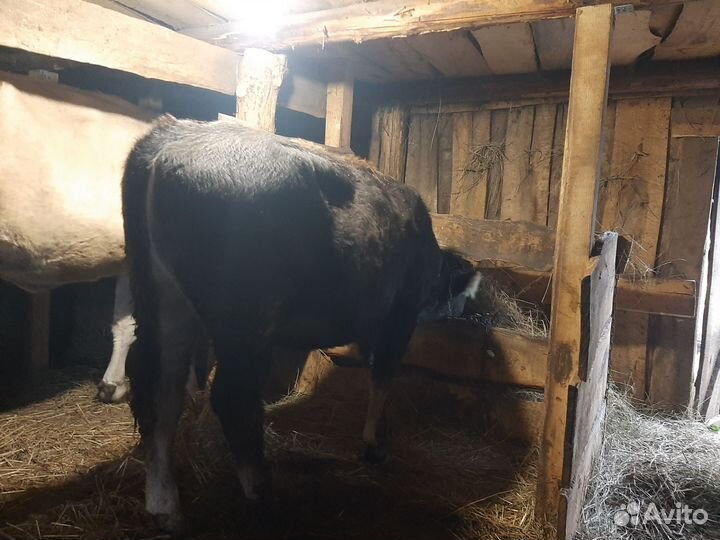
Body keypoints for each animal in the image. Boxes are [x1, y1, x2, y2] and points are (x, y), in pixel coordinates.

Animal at [122, 117, 481, 532]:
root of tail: (173, 138)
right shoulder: (398, 314)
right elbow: (384, 375)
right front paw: (375, 445)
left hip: (162, 301)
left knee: (159, 391)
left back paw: (166, 508)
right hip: (246, 318)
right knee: (232, 399)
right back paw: (264, 497)